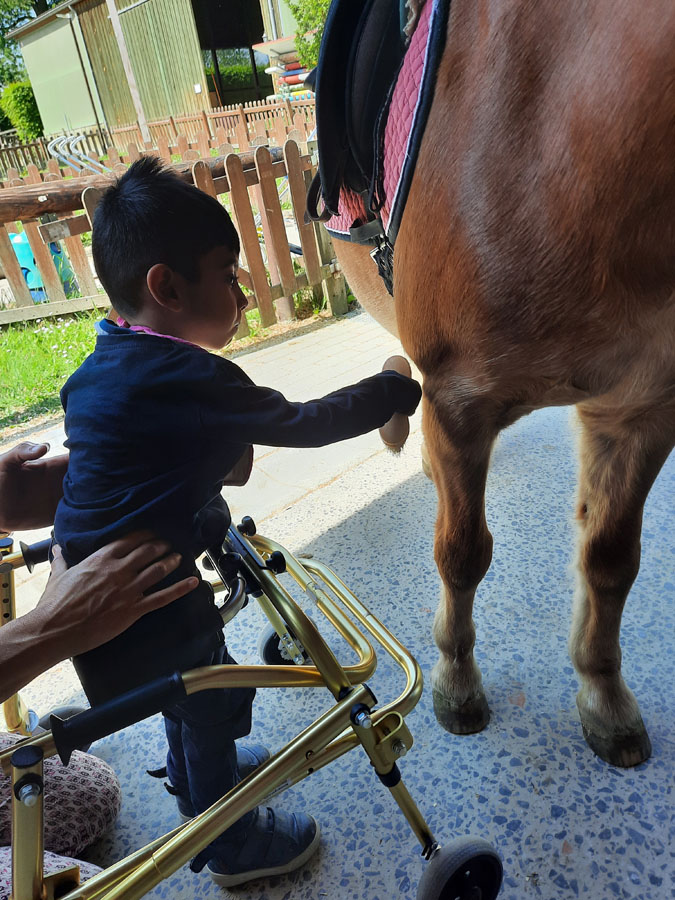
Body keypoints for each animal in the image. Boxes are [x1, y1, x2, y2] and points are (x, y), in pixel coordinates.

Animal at [334, 0, 675, 768]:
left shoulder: (640, 409)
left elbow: (610, 558)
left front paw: (603, 696)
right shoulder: (460, 403)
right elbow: (461, 553)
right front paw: (456, 681)